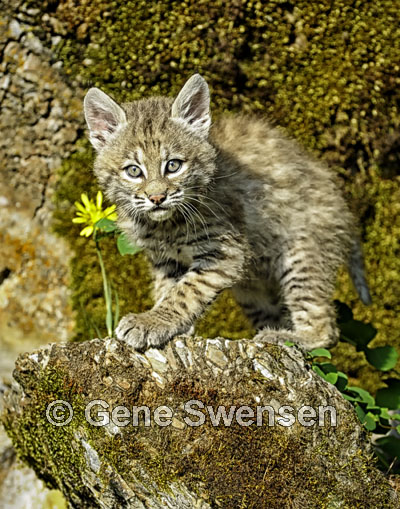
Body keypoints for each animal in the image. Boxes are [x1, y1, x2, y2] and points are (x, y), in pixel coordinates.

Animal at [83, 74, 370, 350]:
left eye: (173, 166)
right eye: (133, 171)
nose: (157, 198)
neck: (164, 224)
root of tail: (340, 197)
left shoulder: (226, 252)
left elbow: (185, 292)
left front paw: (150, 322)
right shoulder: (165, 260)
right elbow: (169, 290)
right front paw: (167, 325)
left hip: (302, 254)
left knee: (327, 330)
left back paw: (288, 338)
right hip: (253, 289)